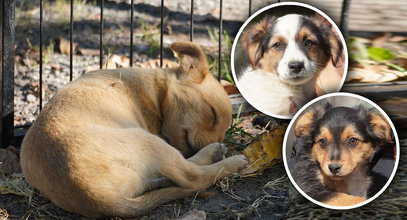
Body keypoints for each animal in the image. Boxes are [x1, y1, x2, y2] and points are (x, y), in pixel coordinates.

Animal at [19, 42, 249, 217]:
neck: (157, 92)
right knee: (193, 177)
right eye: (212, 113)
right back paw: (228, 159)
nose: (216, 140)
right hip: (150, 141)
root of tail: (95, 194)